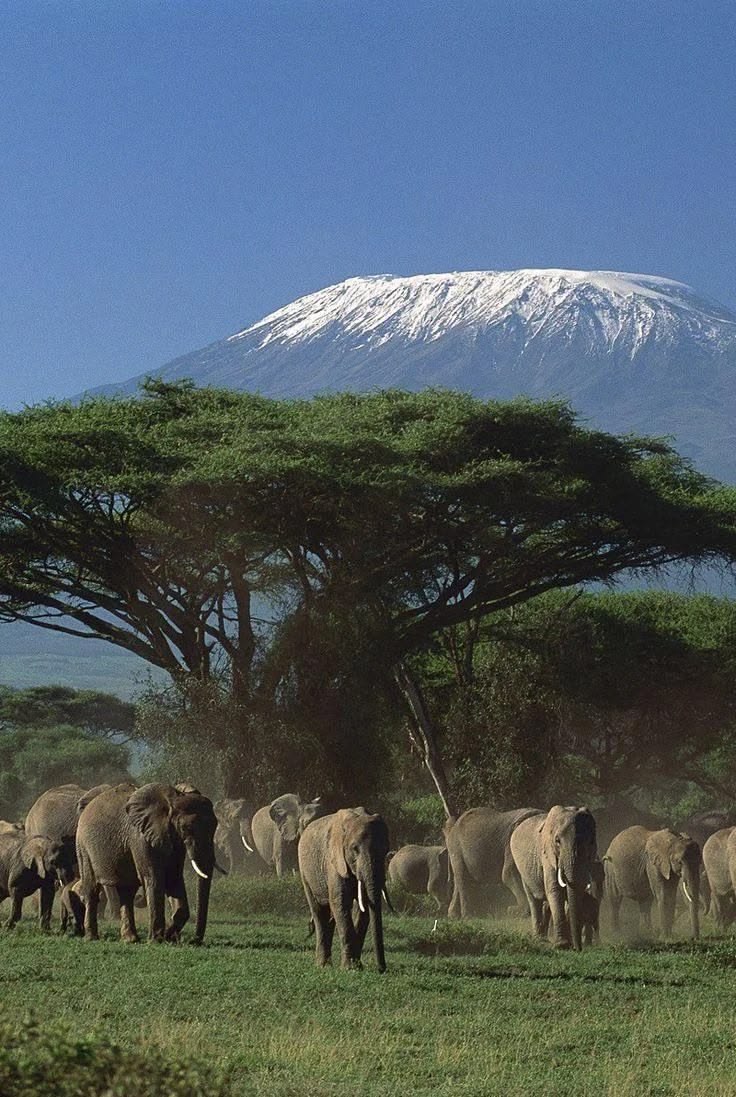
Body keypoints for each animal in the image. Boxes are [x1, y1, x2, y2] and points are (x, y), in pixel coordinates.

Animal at [76, 781, 219, 944]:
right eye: (186, 828)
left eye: (216, 825)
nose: (194, 941)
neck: (173, 800)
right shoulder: (140, 837)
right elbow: (153, 878)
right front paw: (157, 940)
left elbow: (174, 878)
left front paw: (169, 937)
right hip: (83, 846)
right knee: (92, 888)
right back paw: (91, 938)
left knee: (127, 893)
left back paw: (130, 939)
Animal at [298, 807, 390, 971]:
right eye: (355, 849)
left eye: (386, 849)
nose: (381, 969)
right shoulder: (334, 862)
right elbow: (340, 903)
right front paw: (349, 968)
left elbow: (362, 908)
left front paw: (357, 966)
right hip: (305, 872)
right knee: (319, 912)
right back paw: (323, 965)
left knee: (330, 917)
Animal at [509, 806, 598, 950]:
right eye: (557, 841)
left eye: (590, 842)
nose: (578, 949)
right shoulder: (548, 856)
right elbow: (555, 890)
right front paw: (562, 945)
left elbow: (576, 890)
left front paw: (567, 944)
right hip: (523, 869)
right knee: (534, 900)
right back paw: (539, 939)